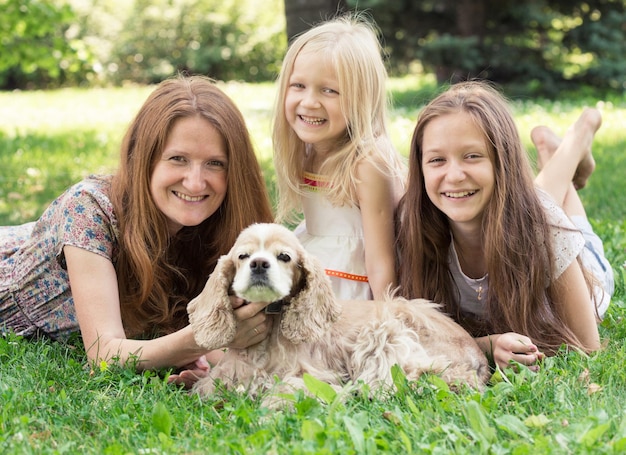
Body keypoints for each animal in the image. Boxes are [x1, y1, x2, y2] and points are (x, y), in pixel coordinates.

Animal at [188, 223, 490, 404]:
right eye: (242, 256)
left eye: (284, 256)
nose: (259, 264)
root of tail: (477, 353)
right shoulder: (222, 377)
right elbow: (209, 388)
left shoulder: (313, 375)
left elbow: (287, 389)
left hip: (385, 331)